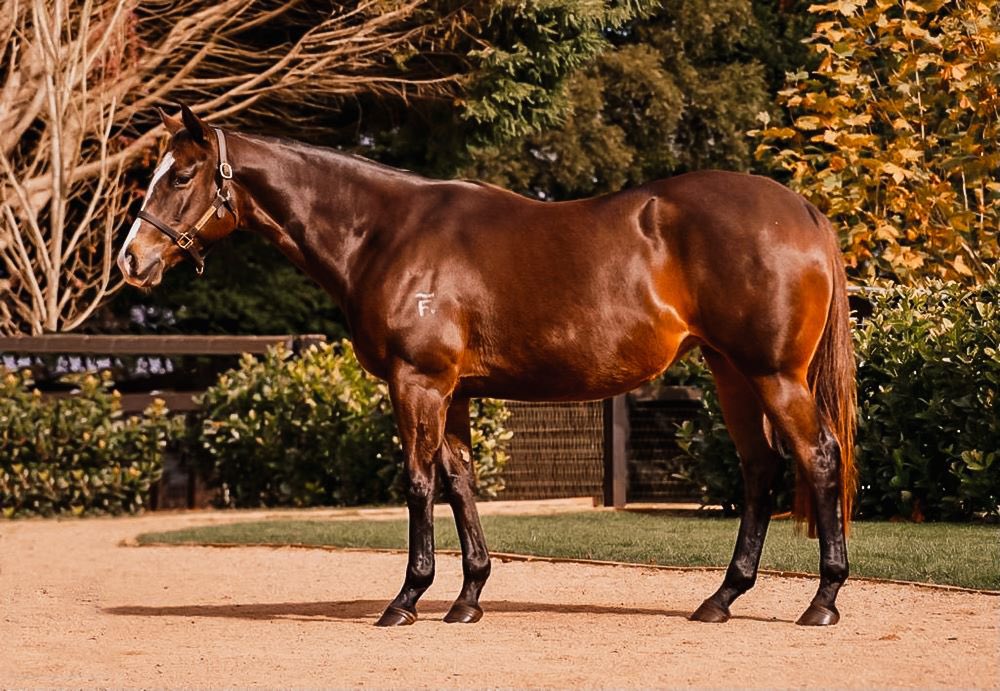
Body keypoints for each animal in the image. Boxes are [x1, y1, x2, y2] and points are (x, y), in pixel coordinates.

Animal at [119, 105, 856, 628]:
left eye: (179, 175)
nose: (131, 260)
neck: (383, 232)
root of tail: (804, 210)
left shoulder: (418, 382)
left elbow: (419, 483)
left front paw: (407, 598)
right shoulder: (456, 392)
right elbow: (460, 483)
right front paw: (467, 596)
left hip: (773, 374)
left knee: (818, 457)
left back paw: (821, 600)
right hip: (731, 371)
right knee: (760, 470)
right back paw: (722, 597)